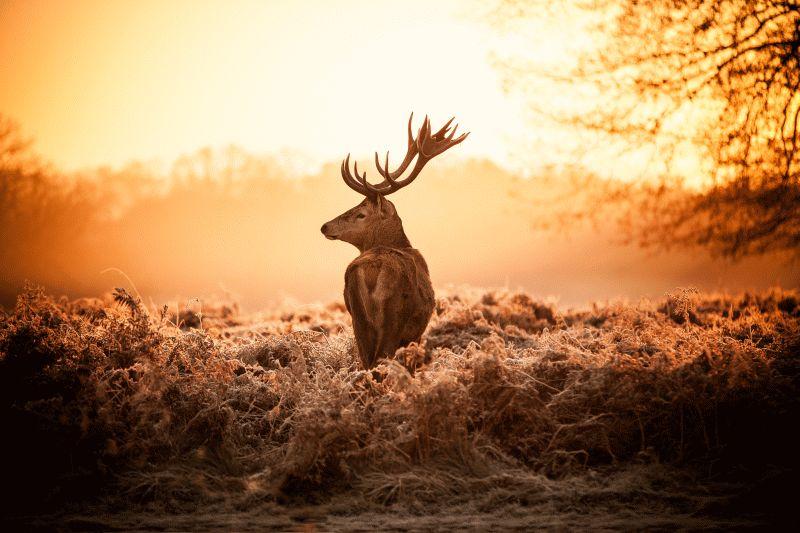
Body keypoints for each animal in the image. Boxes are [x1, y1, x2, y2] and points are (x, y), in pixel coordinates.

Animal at [320, 113, 468, 369]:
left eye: (361, 214)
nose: (325, 226)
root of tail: (370, 270)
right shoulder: (416, 333)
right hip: (394, 318)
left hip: (358, 319)